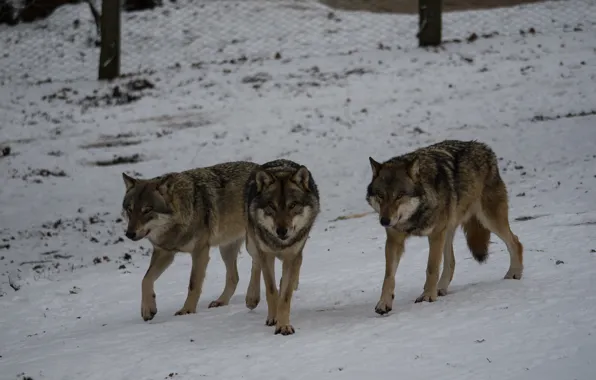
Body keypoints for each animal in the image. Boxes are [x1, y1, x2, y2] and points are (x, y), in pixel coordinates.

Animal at [121, 160, 258, 320]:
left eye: (147, 210)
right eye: (130, 209)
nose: (129, 234)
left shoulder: (200, 252)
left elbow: (193, 284)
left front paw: (187, 310)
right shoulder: (164, 253)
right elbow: (145, 279)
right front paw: (148, 309)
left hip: (250, 244)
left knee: (256, 265)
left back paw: (252, 298)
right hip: (226, 249)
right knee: (234, 277)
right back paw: (221, 301)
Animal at [244, 160, 322, 336]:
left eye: (292, 205)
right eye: (272, 206)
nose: (281, 231)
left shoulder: (292, 256)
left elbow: (285, 296)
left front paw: (284, 325)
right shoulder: (266, 255)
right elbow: (271, 290)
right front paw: (273, 319)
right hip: (252, 244)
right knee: (255, 262)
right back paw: (251, 298)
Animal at [366, 140, 524, 314]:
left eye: (399, 196)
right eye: (381, 196)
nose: (384, 221)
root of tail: (484, 147)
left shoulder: (435, 234)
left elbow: (431, 268)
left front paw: (428, 296)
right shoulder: (394, 240)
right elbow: (388, 276)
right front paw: (384, 303)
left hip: (488, 220)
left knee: (516, 241)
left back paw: (514, 274)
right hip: (449, 231)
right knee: (452, 262)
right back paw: (440, 288)